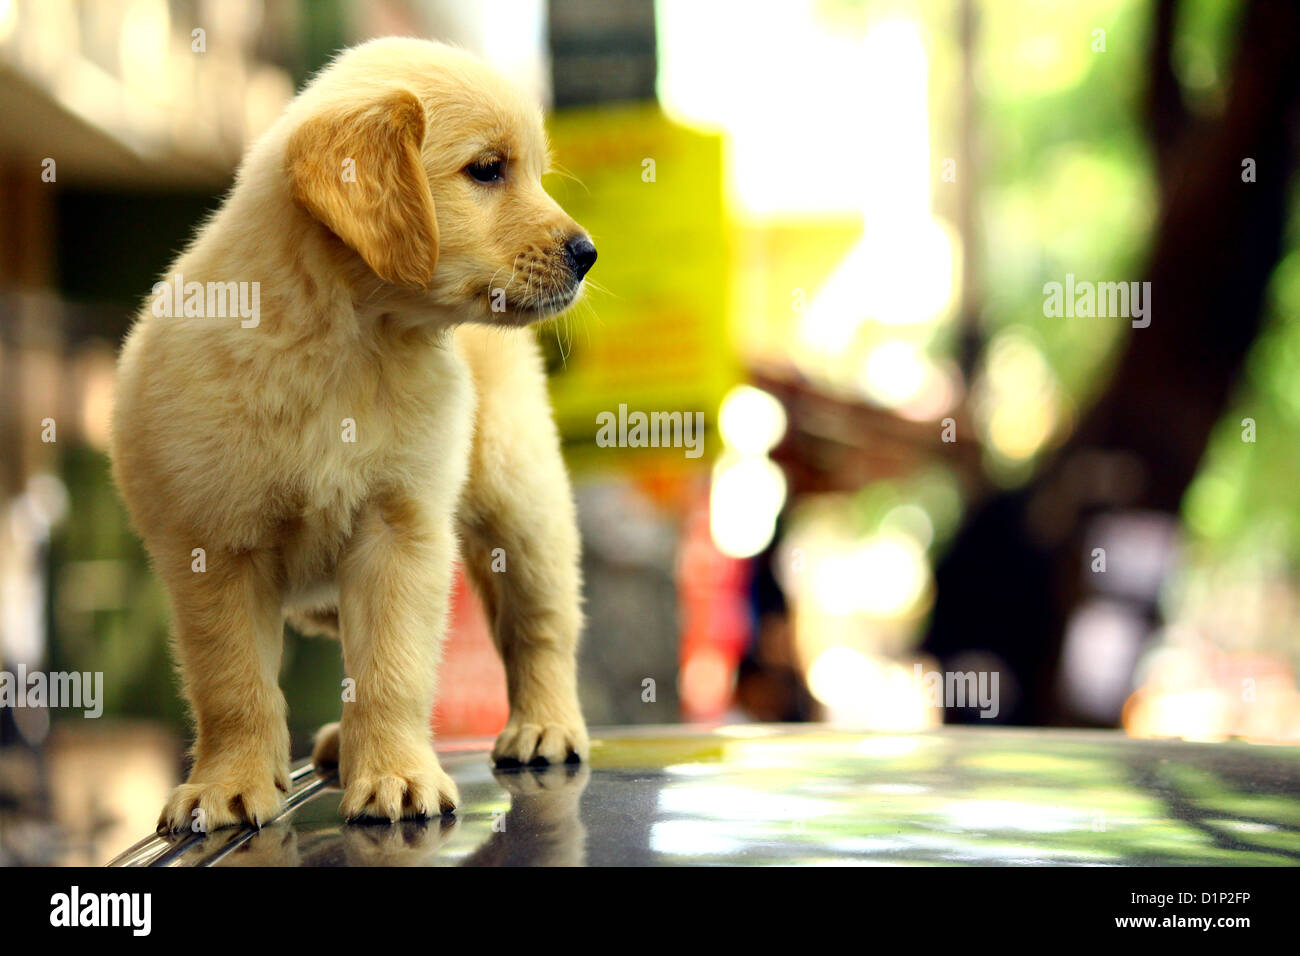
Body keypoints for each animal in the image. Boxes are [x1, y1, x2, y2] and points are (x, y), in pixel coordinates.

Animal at [109, 37, 595, 832]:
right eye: (488, 169)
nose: (588, 253)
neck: (344, 337)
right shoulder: (215, 546)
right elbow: (232, 682)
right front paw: (229, 784)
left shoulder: (399, 528)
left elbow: (393, 667)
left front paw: (397, 774)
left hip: (520, 504)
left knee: (541, 624)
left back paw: (545, 725)